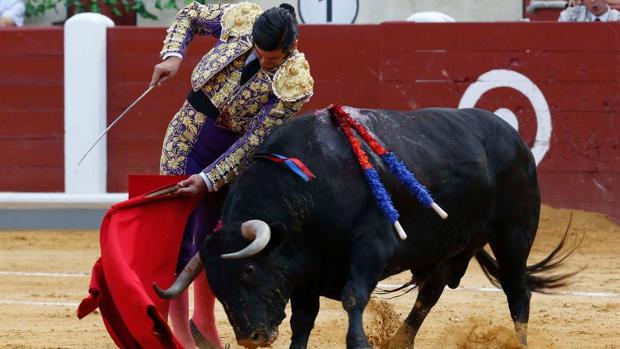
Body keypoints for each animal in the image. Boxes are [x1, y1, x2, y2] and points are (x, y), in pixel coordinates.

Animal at [156, 107, 576, 346]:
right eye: (217, 285)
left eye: (248, 270)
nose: (251, 339)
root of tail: (514, 136)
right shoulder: (306, 270)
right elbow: (303, 319)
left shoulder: (371, 246)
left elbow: (353, 297)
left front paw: (360, 344)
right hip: (447, 247)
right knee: (431, 292)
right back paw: (401, 341)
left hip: (514, 233)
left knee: (517, 292)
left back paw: (519, 342)